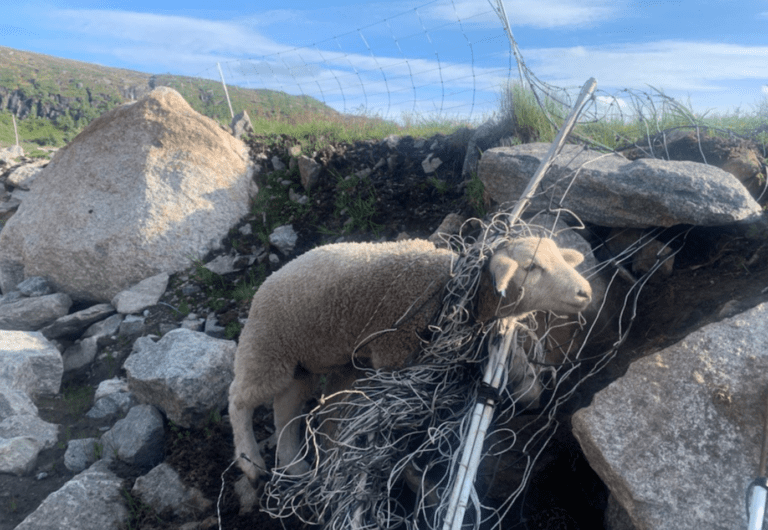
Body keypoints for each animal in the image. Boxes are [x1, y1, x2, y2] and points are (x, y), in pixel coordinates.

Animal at [225, 236, 592, 482]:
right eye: (531, 267)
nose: (585, 292)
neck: (461, 291)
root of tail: (266, 282)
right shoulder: (395, 351)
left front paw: (531, 391)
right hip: (268, 347)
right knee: (239, 399)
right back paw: (250, 461)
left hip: (307, 360)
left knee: (286, 407)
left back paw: (296, 466)